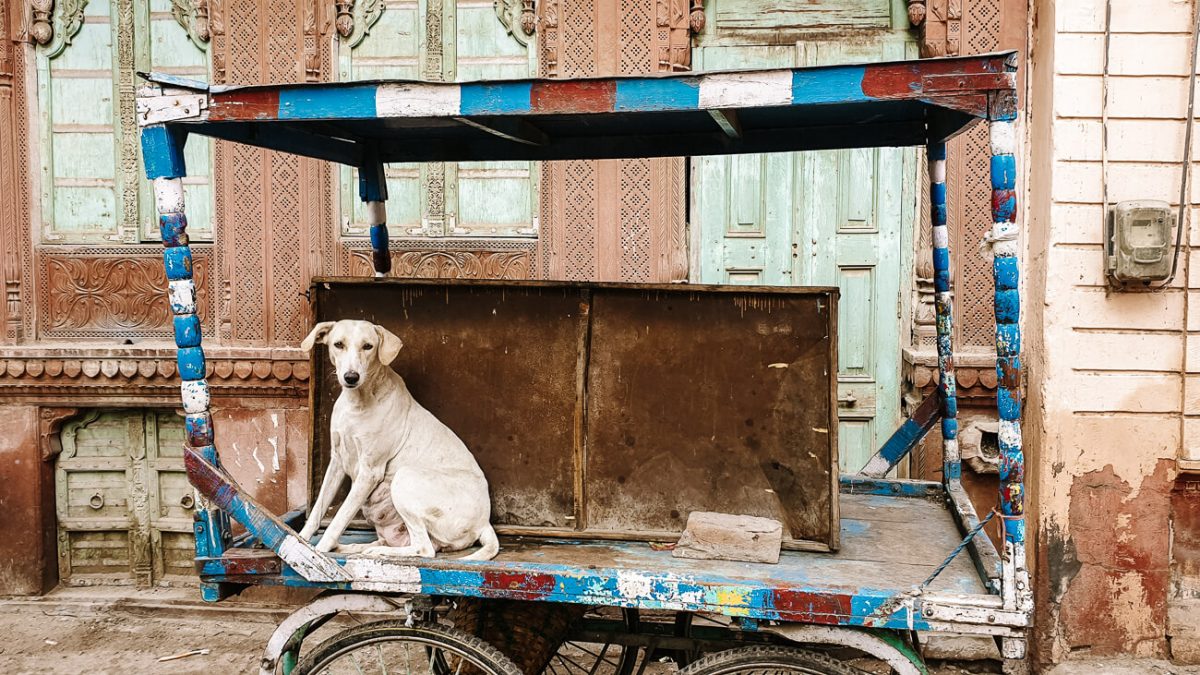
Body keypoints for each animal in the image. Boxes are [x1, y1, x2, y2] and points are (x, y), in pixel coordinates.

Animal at [297, 317, 499, 559]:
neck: (357, 402)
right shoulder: (336, 462)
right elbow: (317, 511)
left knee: (424, 548)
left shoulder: (369, 472)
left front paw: (318, 551)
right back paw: (352, 548)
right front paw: (299, 542)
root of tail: (485, 523)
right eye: (338, 344)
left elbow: (339, 518)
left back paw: (376, 552)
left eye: (368, 346)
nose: (351, 377)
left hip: (405, 477)